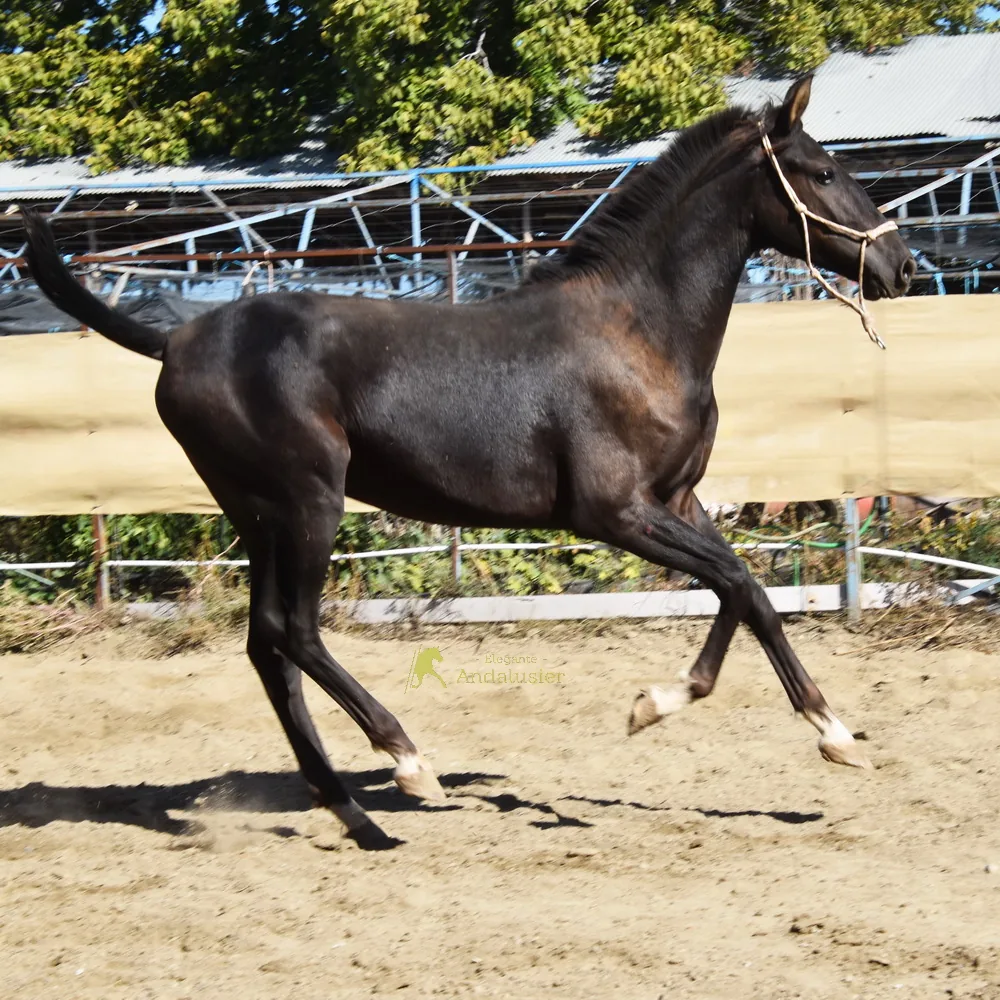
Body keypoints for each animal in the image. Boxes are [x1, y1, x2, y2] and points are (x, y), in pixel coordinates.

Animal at [21, 77, 915, 848]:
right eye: (824, 171)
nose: (900, 266)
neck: (638, 332)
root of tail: (175, 339)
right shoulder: (614, 512)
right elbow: (742, 584)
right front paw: (826, 731)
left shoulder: (680, 501)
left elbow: (744, 593)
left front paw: (673, 707)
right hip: (307, 503)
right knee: (293, 631)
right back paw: (407, 762)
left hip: (258, 515)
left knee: (264, 646)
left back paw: (358, 816)